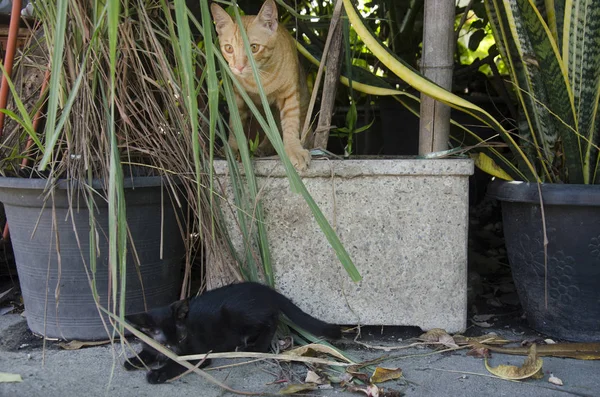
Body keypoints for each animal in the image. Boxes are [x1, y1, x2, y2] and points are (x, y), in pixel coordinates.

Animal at [124, 280, 340, 382]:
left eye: (183, 336)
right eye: (165, 344)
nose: (178, 353)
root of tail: (265, 289)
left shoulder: (198, 354)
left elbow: (178, 365)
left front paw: (158, 373)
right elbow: (147, 351)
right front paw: (134, 360)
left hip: (238, 312)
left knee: (272, 320)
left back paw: (256, 347)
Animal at [211, 0, 312, 169]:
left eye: (254, 47)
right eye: (229, 48)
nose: (239, 67)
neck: (259, 78)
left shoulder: (289, 94)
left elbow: (290, 124)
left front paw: (294, 150)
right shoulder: (237, 96)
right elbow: (234, 124)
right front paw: (233, 147)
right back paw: (263, 148)